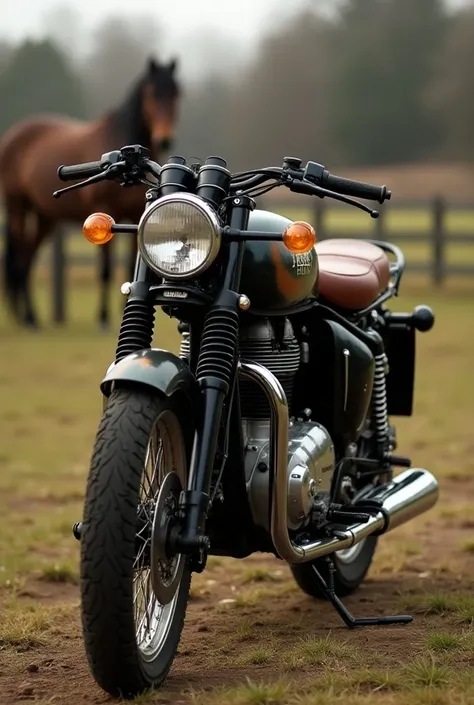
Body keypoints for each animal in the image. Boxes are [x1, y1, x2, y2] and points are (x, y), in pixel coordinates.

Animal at [0, 57, 181, 328]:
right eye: (151, 93)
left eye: (176, 93)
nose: (164, 139)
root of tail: (14, 134)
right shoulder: (105, 211)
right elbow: (105, 269)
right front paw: (103, 318)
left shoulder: (136, 215)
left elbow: (129, 265)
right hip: (17, 207)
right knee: (20, 260)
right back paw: (30, 318)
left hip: (45, 217)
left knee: (27, 257)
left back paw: (27, 316)